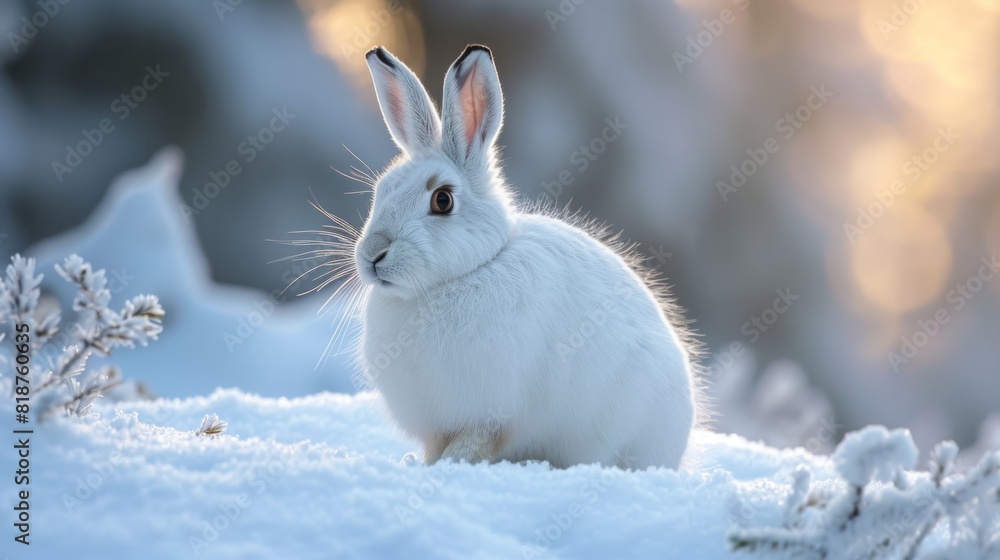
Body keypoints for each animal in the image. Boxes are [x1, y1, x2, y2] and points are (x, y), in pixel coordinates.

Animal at [352, 44, 703, 469]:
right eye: (381, 190)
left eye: (442, 200)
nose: (373, 254)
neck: (459, 277)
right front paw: (421, 464)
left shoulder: (491, 411)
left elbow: (474, 443)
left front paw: (450, 465)